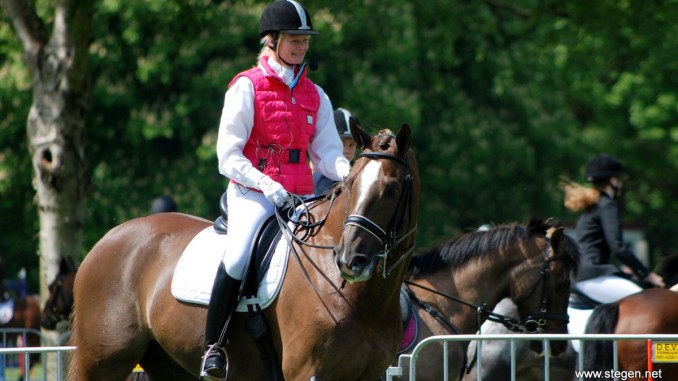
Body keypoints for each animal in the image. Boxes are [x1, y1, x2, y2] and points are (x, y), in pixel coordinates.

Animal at [67, 122, 420, 380]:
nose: (349, 260)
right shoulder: (307, 371)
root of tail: (107, 240)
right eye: (350, 186)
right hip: (102, 361)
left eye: (391, 189)